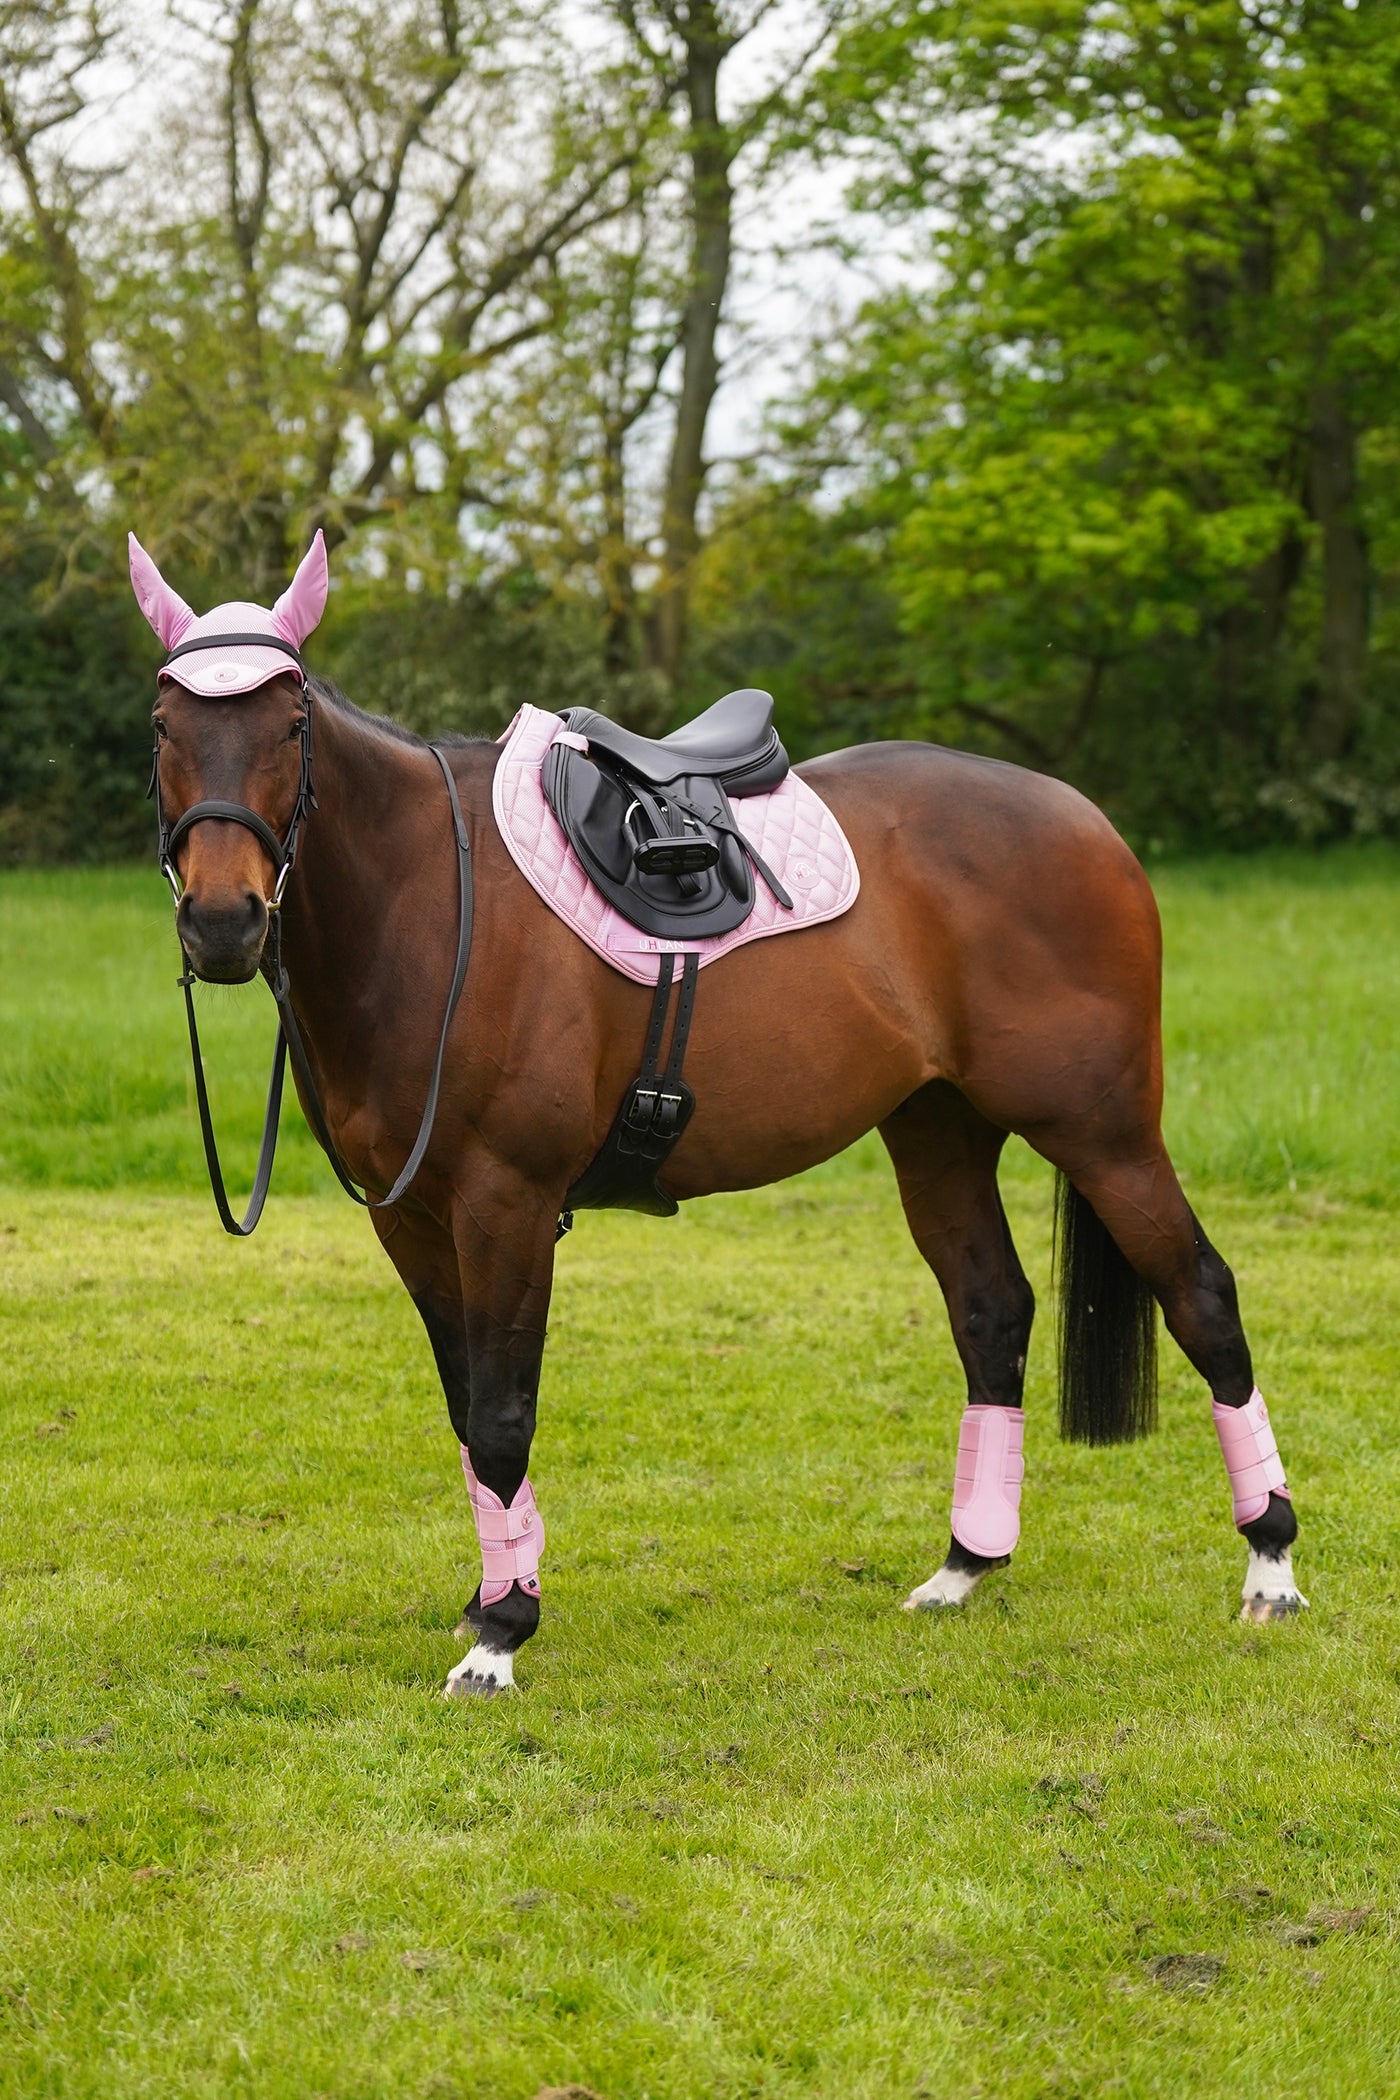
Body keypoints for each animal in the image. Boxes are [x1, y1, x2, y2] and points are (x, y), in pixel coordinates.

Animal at [128, 533, 1301, 1696]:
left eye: (289, 727)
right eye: (165, 725)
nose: (223, 923)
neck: (429, 898)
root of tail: (1082, 818)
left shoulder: (507, 1203)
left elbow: (502, 1416)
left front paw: (502, 1631)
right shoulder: (410, 1220)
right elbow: (467, 1412)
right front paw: (491, 1595)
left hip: (1102, 1132)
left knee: (1202, 1294)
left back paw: (1270, 1565)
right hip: (939, 1128)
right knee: (991, 1311)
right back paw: (966, 1565)